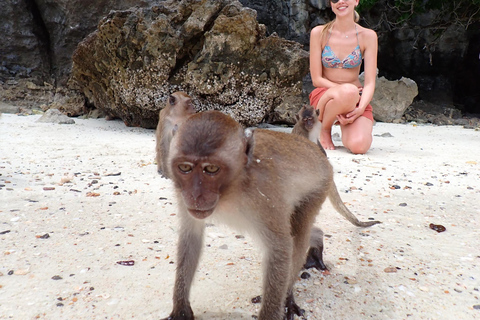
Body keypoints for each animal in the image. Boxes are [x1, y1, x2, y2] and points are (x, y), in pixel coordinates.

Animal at [161, 110, 378, 320]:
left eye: (211, 169)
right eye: (185, 167)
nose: (195, 195)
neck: (233, 185)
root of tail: (322, 158)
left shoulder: (264, 193)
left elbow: (280, 248)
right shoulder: (182, 195)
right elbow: (191, 237)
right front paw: (181, 308)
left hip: (318, 187)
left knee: (298, 233)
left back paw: (289, 294)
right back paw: (317, 240)